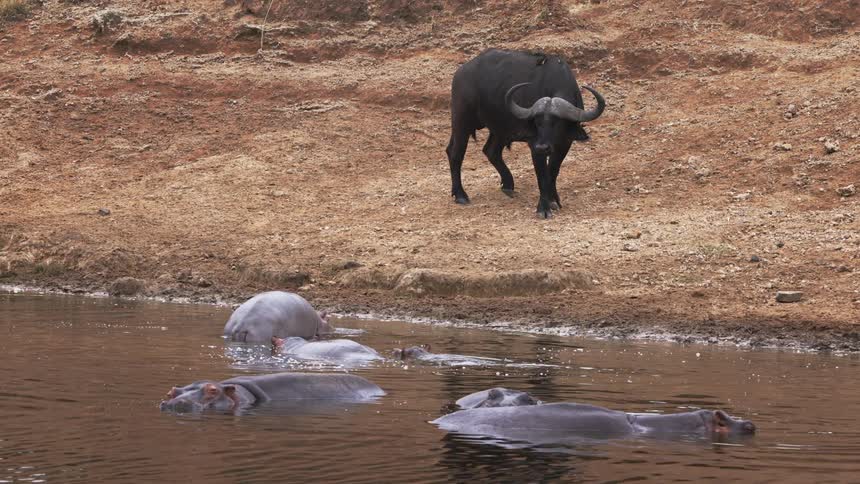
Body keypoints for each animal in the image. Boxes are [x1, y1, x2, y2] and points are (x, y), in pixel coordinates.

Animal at [446, 48, 605, 218]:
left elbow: (552, 171)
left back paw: (508, 185)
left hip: (499, 129)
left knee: (490, 151)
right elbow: (542, 176)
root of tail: (461, 73)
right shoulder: (534, 146)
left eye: (557, 123)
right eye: (537, 122)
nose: (542, 147)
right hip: (461, 122)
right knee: (455, 154)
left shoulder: (564, 144)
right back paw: (460, 195)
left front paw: (553, 199)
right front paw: (543, 208)